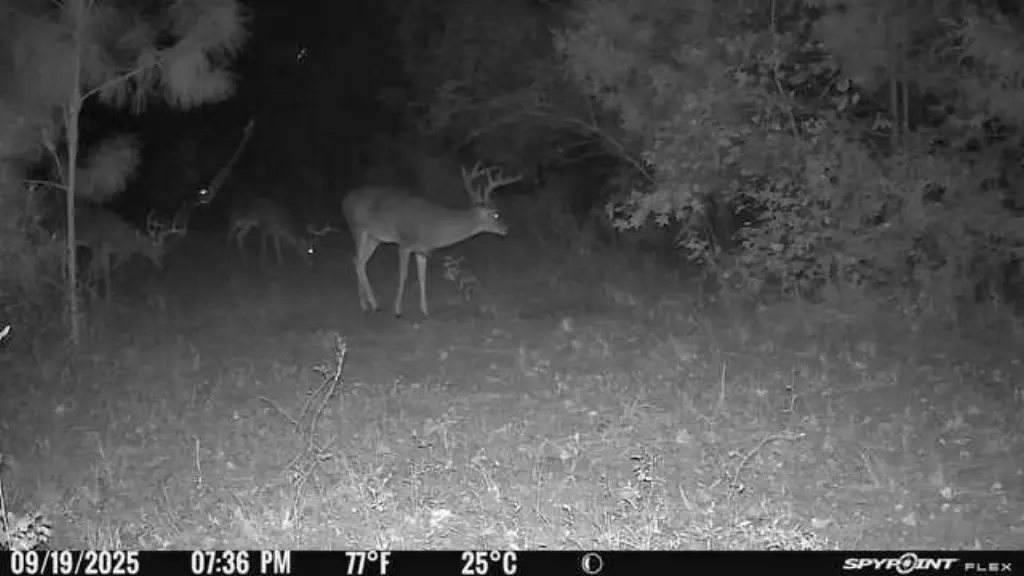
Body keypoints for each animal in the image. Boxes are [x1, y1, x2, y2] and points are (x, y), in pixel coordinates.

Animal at [341, 161, 521, 318]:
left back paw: (367, 305)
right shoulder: (404, 243)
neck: (435, 228)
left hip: (374, 237)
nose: (506, 228)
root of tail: (345, 199)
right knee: (357, 260)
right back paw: (372, 305)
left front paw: (425, 312)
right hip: (357, 228)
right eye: (496, 214)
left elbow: (422, 278)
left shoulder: (423, 250)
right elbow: (403, 275)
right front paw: (398, 311)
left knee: (360, 261)